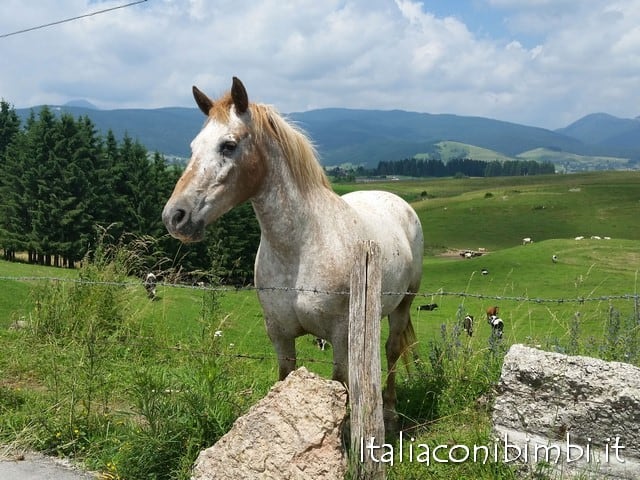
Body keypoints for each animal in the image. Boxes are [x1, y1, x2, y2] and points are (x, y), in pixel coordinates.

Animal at [161, 77, 424, 422]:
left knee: (393, 350)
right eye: (194, 147)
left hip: (403, 304)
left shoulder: (340, 336)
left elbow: (340, 384)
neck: (299, 249)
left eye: (228, 146)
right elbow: (285, 379)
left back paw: (390, 409)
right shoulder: (279, 334)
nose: (175, 216)